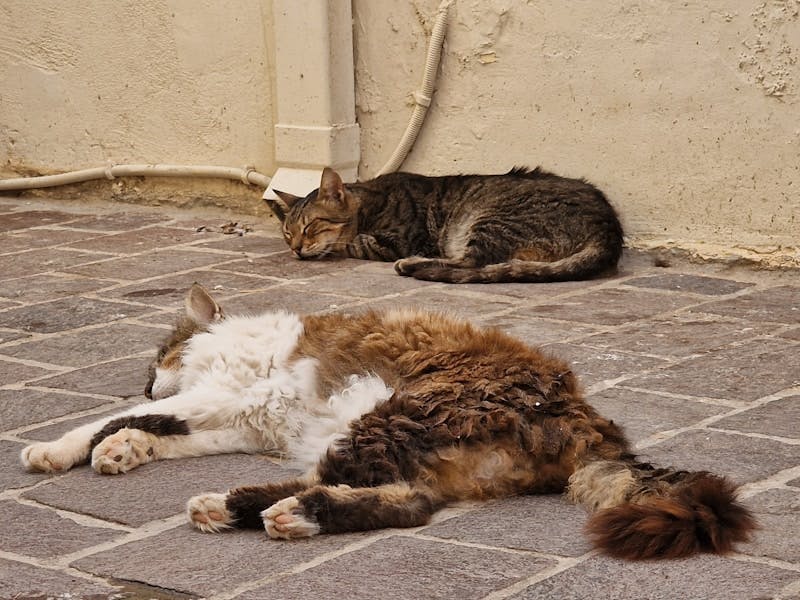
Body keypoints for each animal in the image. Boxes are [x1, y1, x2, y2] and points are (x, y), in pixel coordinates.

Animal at [21, 284, 752, 560]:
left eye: (157, 356)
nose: (147, 376)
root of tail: (589, 418)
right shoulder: (239, 420)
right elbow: (155, 432)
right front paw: (125, 451)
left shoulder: (221, 396)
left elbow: (113, 419)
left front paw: (60, 449)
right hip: (405, 441)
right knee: (406, 502)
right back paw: (261, 511)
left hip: (391, 416)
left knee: (396, 500)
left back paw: (255, 510)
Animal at [268, 165, 624, 284]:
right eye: (287, 233)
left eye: (310, 227)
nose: (296, 249)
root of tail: (609, 229)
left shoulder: (400, 240)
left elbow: (352, 242)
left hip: (491, 219)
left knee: (470, 264)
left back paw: (412, 265)